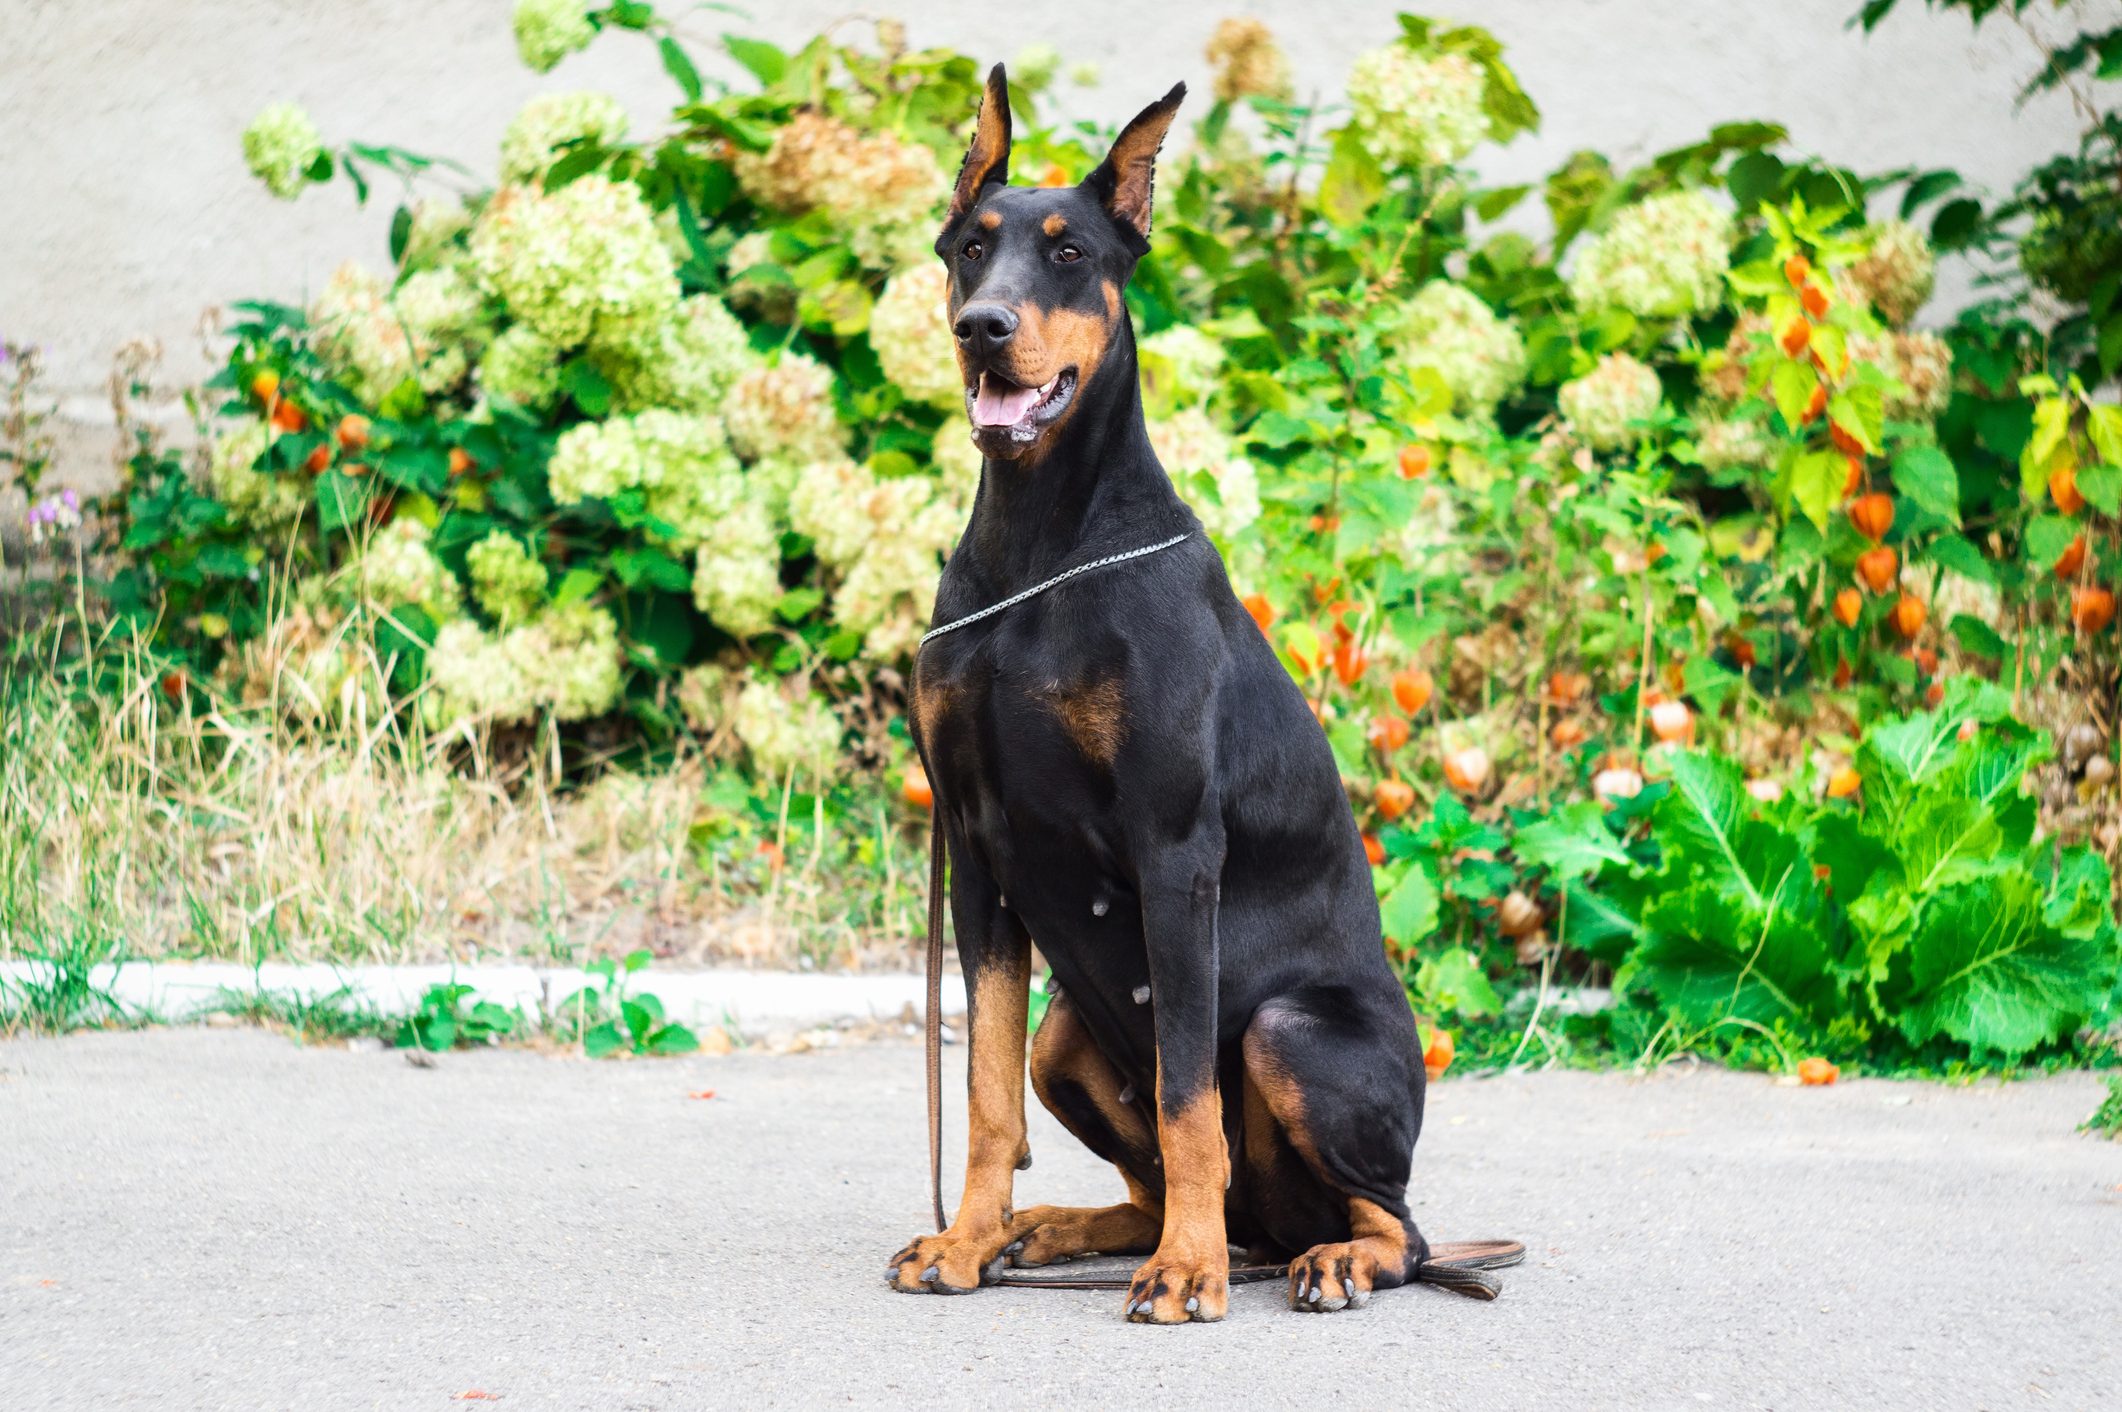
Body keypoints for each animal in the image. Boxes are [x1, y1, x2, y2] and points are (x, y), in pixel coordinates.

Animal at [886, 66, 1434, 1324]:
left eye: (1069, 251)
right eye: (970, 249)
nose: (983, 329)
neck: (1039, 548)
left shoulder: (1175, 848)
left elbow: (1191, 1099)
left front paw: (1186, 1273)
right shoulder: (977, 849)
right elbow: (985, 1091)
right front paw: (963, 1238)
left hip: (1288, 1028)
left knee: (1397, 1222)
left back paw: (1315, 1256)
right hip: (1068, 1036)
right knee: (1138, 1157)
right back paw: (1049, 1227)